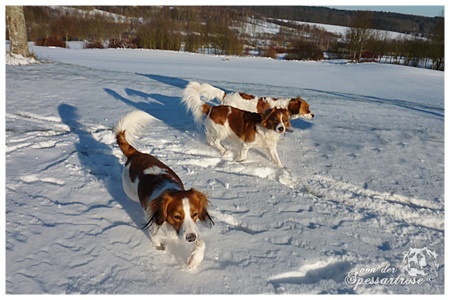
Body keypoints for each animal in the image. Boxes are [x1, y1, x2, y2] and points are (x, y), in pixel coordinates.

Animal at [114, 109, 213, 268]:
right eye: (177, 216)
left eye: (195, 214)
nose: (190, 238)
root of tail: (136, 154)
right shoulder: (155, 229)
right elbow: (156, 241)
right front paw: (161, 251)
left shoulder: (193, 230)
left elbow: (201, 243)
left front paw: (194, 259)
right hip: (128, 190)